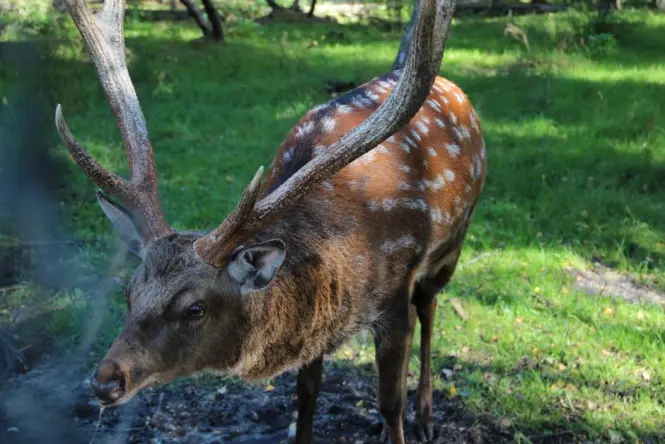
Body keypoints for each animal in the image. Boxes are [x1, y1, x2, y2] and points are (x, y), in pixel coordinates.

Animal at [54, 0, 486, 443]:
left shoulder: (395, 294)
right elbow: (307, 391)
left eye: (195, 309)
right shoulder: (320, 325)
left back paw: (426, 417)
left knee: (429, 309)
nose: (105, 381)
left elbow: (390, 401)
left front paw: (400, 420)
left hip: (453, 243)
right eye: (129, 291)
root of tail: (454, 89)